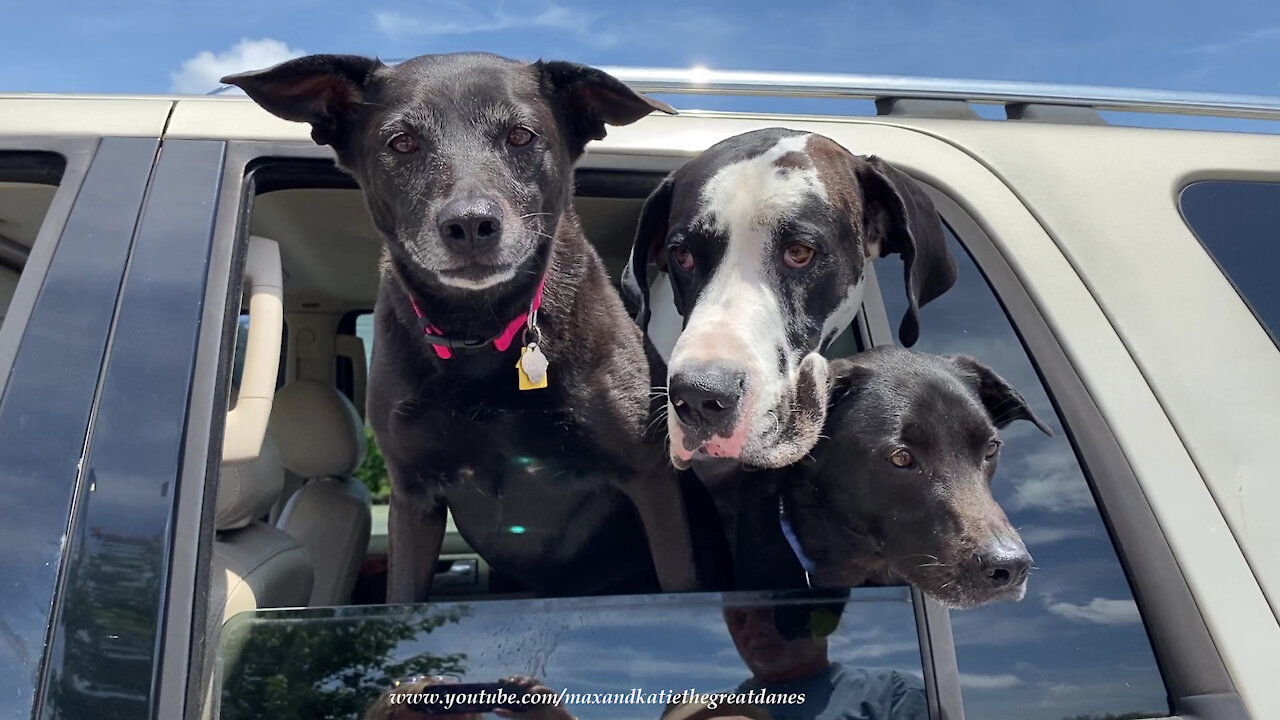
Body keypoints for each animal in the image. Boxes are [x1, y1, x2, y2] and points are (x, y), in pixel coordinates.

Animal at [224, 51, 706, 599]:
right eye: (402, 142)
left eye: (520, 135)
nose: (471, 224)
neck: (481, 328)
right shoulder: (414, 497)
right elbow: (403, 593)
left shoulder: (650, 479)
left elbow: (680, 584)